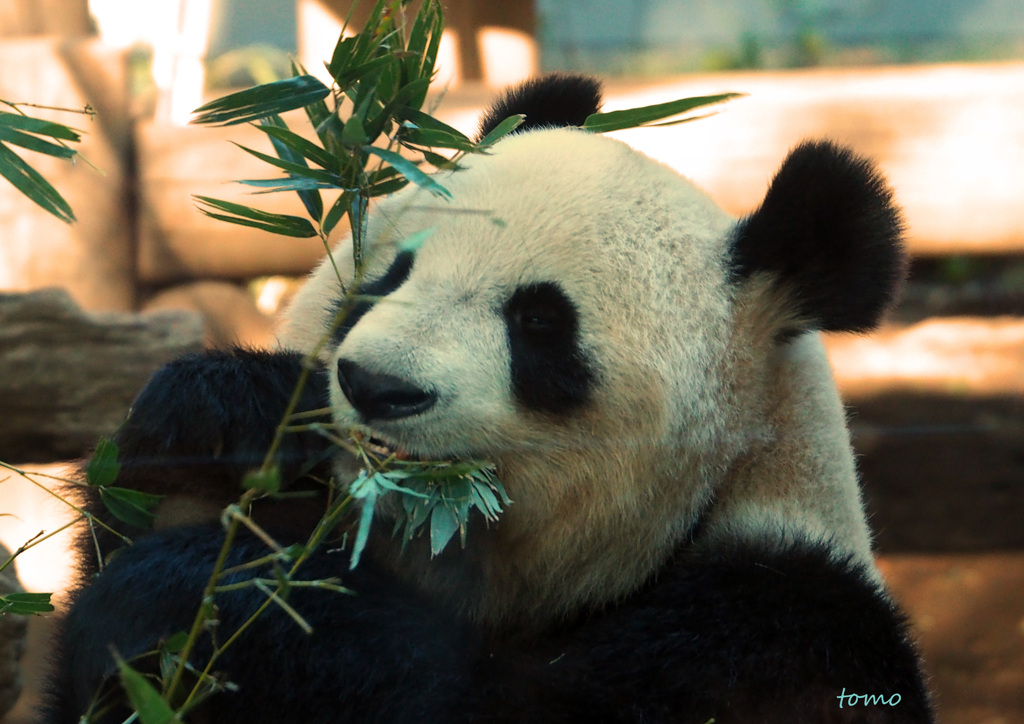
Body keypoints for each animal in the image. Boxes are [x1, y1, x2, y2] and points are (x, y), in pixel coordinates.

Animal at [44, 75, 933, 724]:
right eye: (387, 277)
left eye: (538, 323)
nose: (377, 388)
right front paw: (222, 421)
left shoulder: (775, 631)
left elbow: (460, 700)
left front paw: (201, 595)